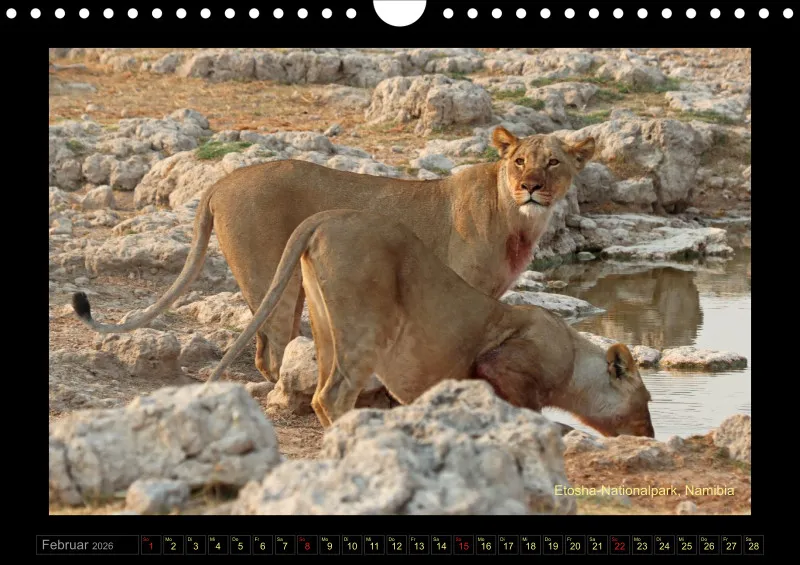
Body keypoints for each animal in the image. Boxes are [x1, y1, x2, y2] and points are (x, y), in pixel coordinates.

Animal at [71, 126, 595, 384]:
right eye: (519, 161)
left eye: (553, 162)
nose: (531, 186)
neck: (518, 221)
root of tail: (220, 181)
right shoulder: (460, 289)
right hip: (275, 279)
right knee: (271, 349)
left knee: (265, 348)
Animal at [202, 209, 655, 438]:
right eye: (646, 400)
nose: (650, 436)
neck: (574, 360)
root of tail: (324, 218)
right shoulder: (503, 363)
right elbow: (531, 413)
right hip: (367, 326)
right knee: (332, 395)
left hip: (324, 322)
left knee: (317, 392)